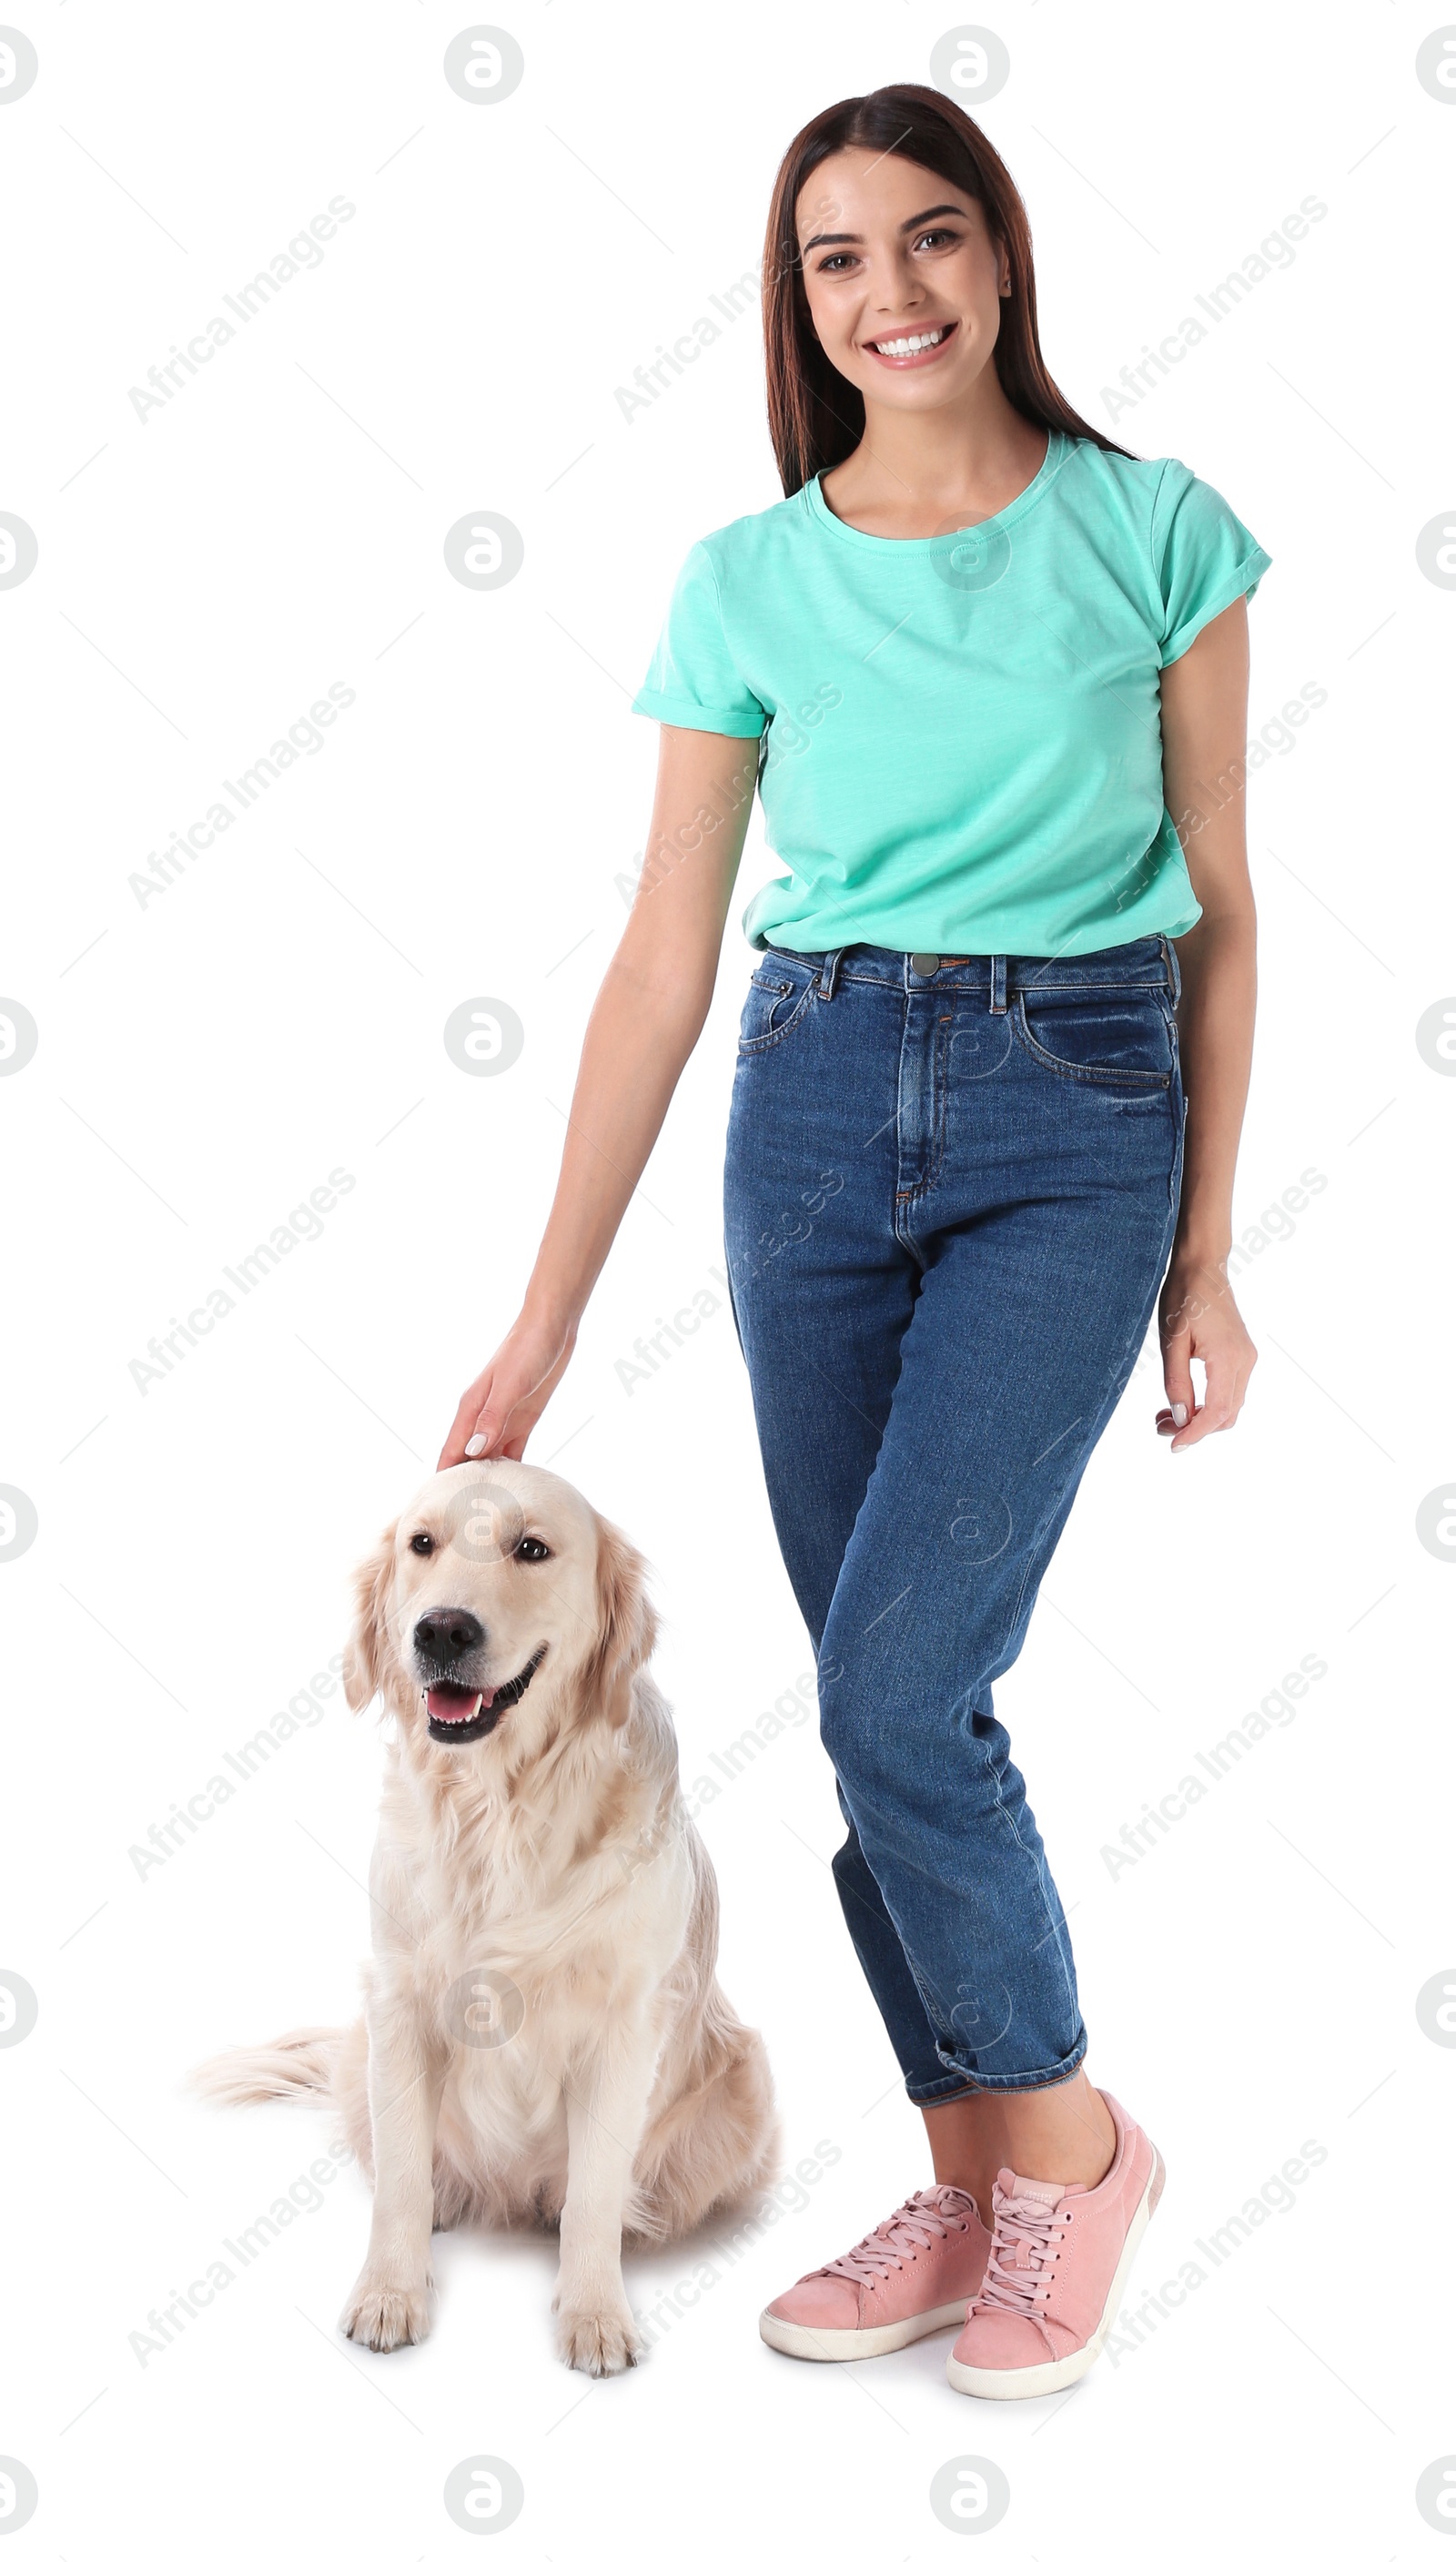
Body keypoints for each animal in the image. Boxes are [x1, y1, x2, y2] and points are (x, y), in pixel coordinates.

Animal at [202, 1475, 784, 2367]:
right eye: (422, 1544)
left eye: (532, 1549)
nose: (442, 1627)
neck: (500, 1806)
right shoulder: (401, 2002)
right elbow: (401, 2178)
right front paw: (389, 2292)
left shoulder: (626, 2021)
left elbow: (594, 2192)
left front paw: (595, 2312)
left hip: (744, 2080)